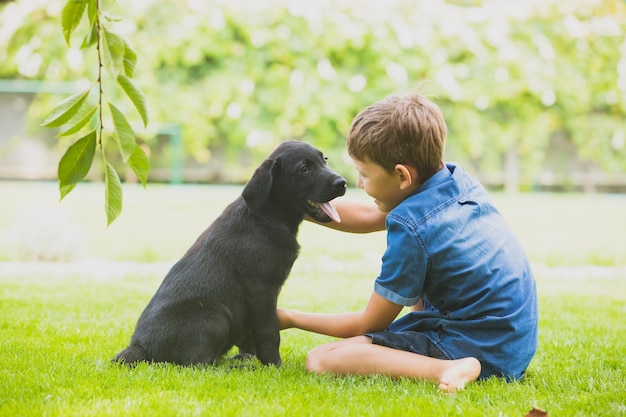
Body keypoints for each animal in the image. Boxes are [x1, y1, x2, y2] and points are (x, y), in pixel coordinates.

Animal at [112, 141, 346, 366]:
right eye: (304, 168)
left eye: (324, 159)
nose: (342, 182)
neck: (267, 216)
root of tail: (139, 347)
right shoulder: (262, 291)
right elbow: (269, 334)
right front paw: (274, 365)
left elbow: (249, 336)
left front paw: (256, 359)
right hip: (215, 314)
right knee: (198, 364)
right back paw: (237, 364)